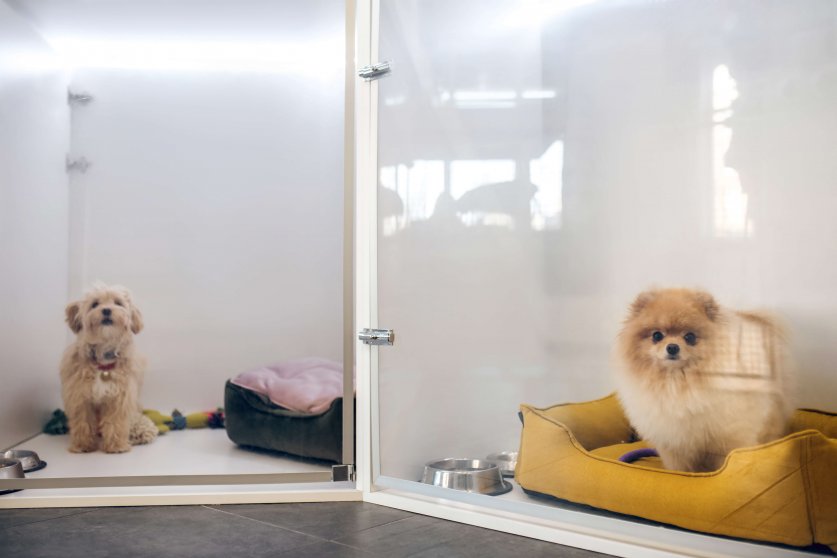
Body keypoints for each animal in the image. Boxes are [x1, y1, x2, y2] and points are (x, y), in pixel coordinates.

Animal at [60, 284, 157, 456]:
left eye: (118, 303)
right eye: (95, 304)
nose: (106, 310)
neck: (103, 361)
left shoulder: (119, 398)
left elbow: (115, 423)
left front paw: (116, 446)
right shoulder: (80, 398)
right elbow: (83, 423)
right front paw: (83, 445)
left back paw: (139, 432)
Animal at [616, 290, 792, 474]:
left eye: (690, 337)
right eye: (657, 335)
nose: (672, 347)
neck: (677, 383)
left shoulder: (725, 436)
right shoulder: (674, 444)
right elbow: (680, 469)